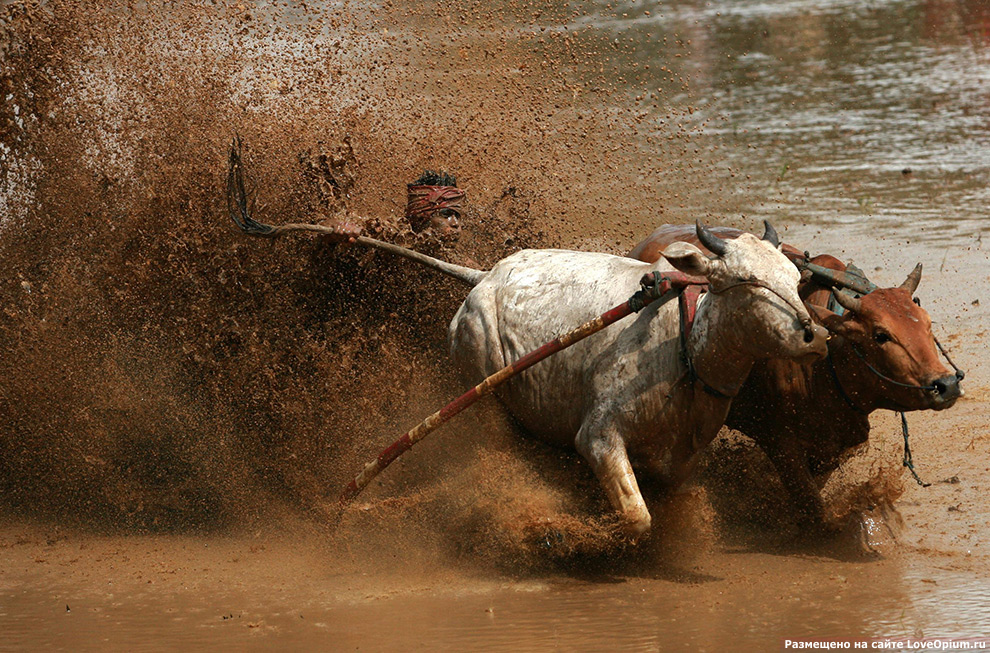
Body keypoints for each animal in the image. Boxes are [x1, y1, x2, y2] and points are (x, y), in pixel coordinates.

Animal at [450, 224, 828, 536]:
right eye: (747, 280)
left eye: (794, 279)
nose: (817, 336)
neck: (683, 343)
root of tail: (485, 277)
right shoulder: (598, 436)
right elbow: (637, 517)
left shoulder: (681, 461)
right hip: (482, 388)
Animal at [632, 223, 964, 524]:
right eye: (881, 335)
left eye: (926, 323)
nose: (946, 384)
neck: (827, 363)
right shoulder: (781, 443)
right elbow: (813, 508)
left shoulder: (833, 446)